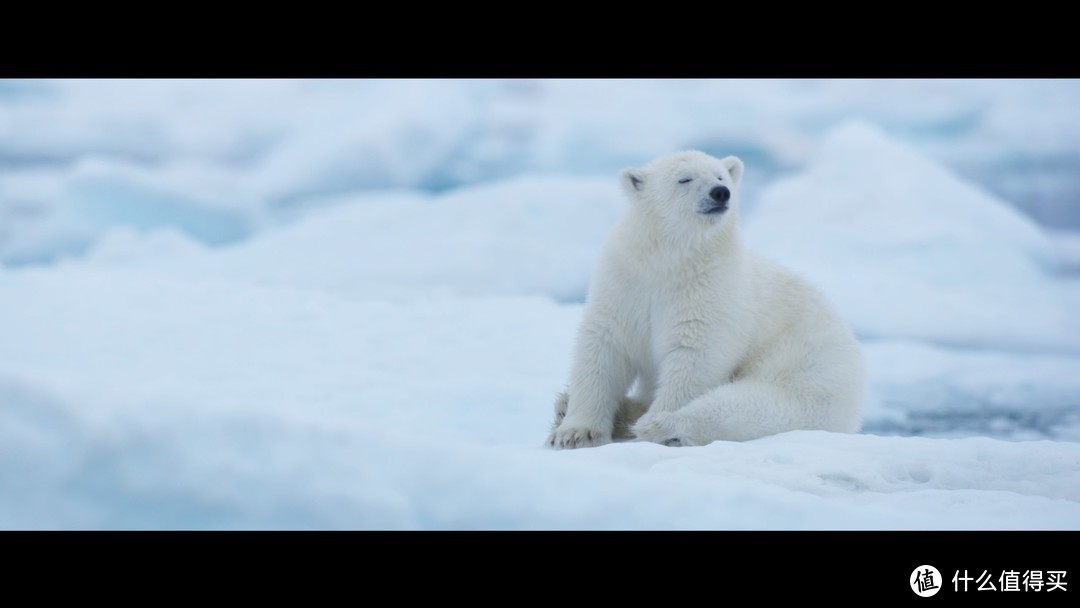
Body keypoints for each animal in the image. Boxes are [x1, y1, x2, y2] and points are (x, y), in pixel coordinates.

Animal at [544, 150, 864, 449]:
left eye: (720, 176)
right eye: (684, 179)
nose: (721, 192)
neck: (669, 258)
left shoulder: (711, 288)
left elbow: (695, 354)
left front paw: (654, 420)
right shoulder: (625, 281)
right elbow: (604, 348)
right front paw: (575, 432)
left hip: (805, 367)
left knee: (757, 405)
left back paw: (661, 425)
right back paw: (573, 405)